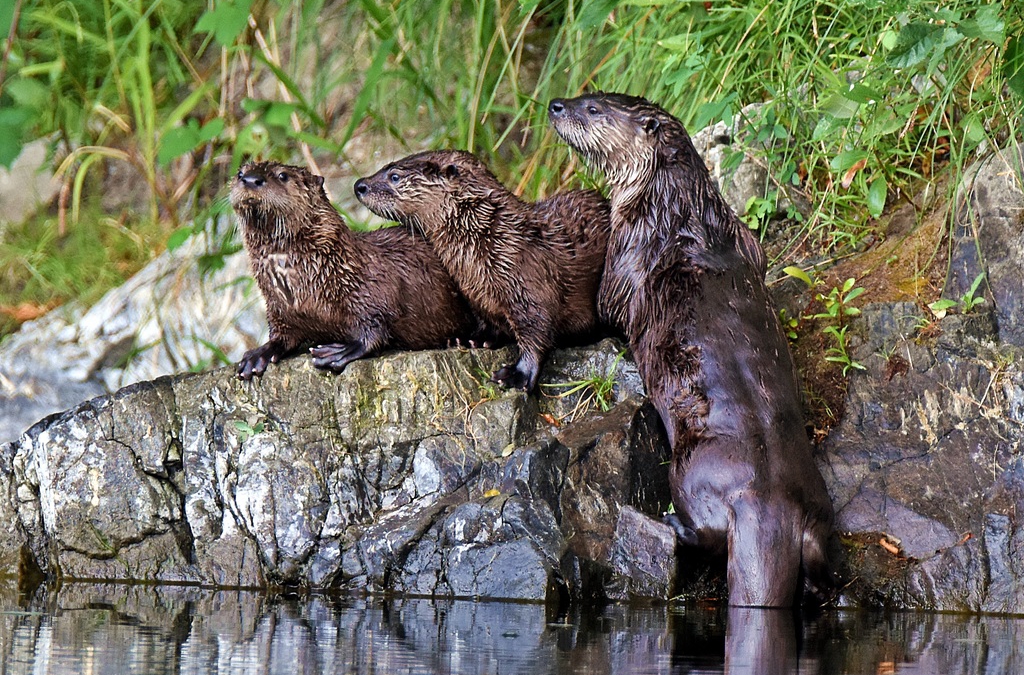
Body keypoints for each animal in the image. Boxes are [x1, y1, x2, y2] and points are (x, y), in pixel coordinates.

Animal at [228, 159, 475, 381]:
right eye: (240, 172)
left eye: (282, 175)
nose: (250, 179)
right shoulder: (280, 308)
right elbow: (281, 335)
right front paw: (259, 354)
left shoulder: (369, 290)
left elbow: (376, 325)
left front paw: (342, 351)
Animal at [352, 147, 606, 391]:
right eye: (385, 167)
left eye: (395, 176)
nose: (359, 185)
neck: (492, 240)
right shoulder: (476, 294)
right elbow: (488, 321)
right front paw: (471, 340)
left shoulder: (530, 286)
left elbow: (537, 331)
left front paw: (518, 374)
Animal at [552, 93, 831, 606]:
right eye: (586, 96)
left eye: (595, 108)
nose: (557, 105)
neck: (676, 208)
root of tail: (766, 503)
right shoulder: (746, 237)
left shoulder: (623, 255)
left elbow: (603, 309)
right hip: (816, 512)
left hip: (687, 472)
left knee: (706, 534)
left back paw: (664, 521)